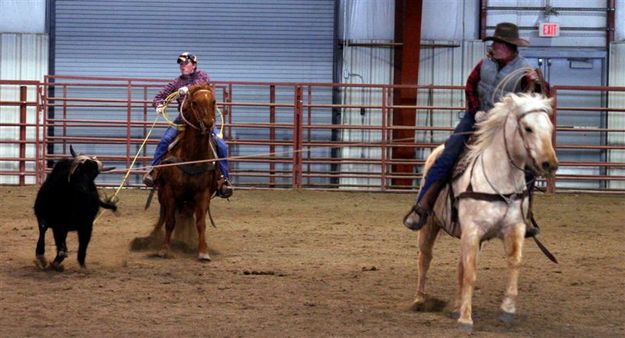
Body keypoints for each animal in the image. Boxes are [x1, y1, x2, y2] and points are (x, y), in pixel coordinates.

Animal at [154, 83, 219, 260]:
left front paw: (203, 251)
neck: (193, 157)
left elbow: (201, 223)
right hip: (162, 193)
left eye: (213, 101)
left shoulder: (203, 194)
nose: (208, 124)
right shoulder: (169, 191)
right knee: (163, 217)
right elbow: (170, 221)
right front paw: (164, 249)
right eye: (194, 103)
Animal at [412, 93, 560, 332]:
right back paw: (419, 300)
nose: (550, 164)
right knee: (424, 258)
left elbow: (513, 263)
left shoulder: (514, 229)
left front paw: (507, 310)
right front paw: (466, 319)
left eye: (549, 127)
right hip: (429, 226)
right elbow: (471, 273)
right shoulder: (473, 231)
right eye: (528, 128)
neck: (500, 182)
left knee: (459, 267)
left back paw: (456, 306)